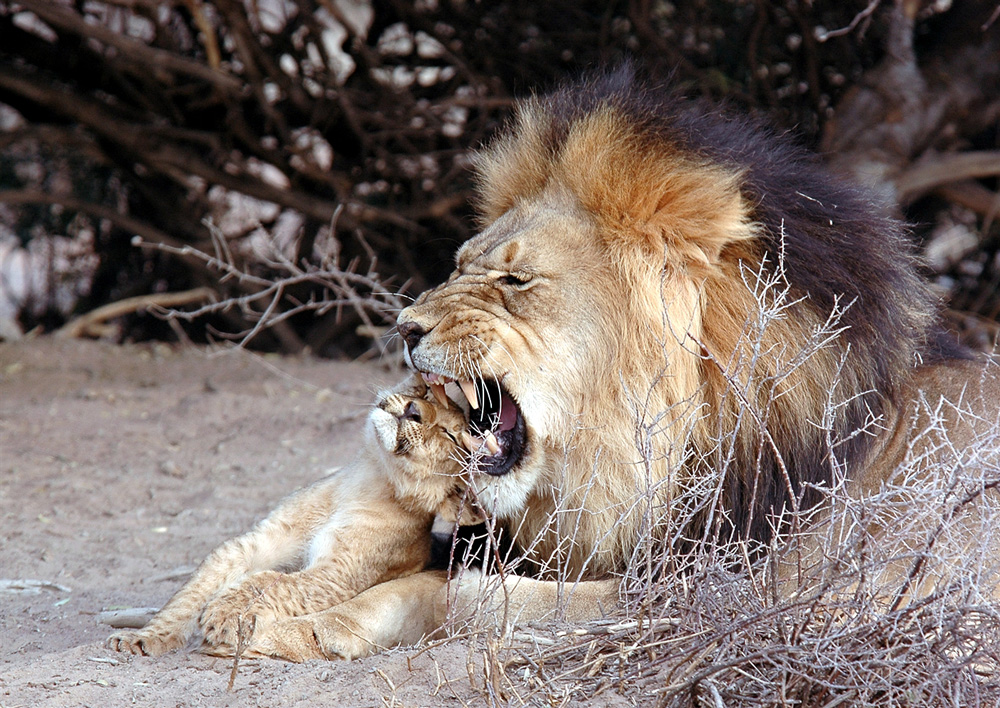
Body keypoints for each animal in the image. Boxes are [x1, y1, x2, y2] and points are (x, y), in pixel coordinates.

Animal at [244, 69, 1000, 660]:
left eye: (515, 281)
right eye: (459, 266)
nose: (404, 327)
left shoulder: (747, 598)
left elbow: (470, 596)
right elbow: (417, 584)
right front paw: (295, 622)